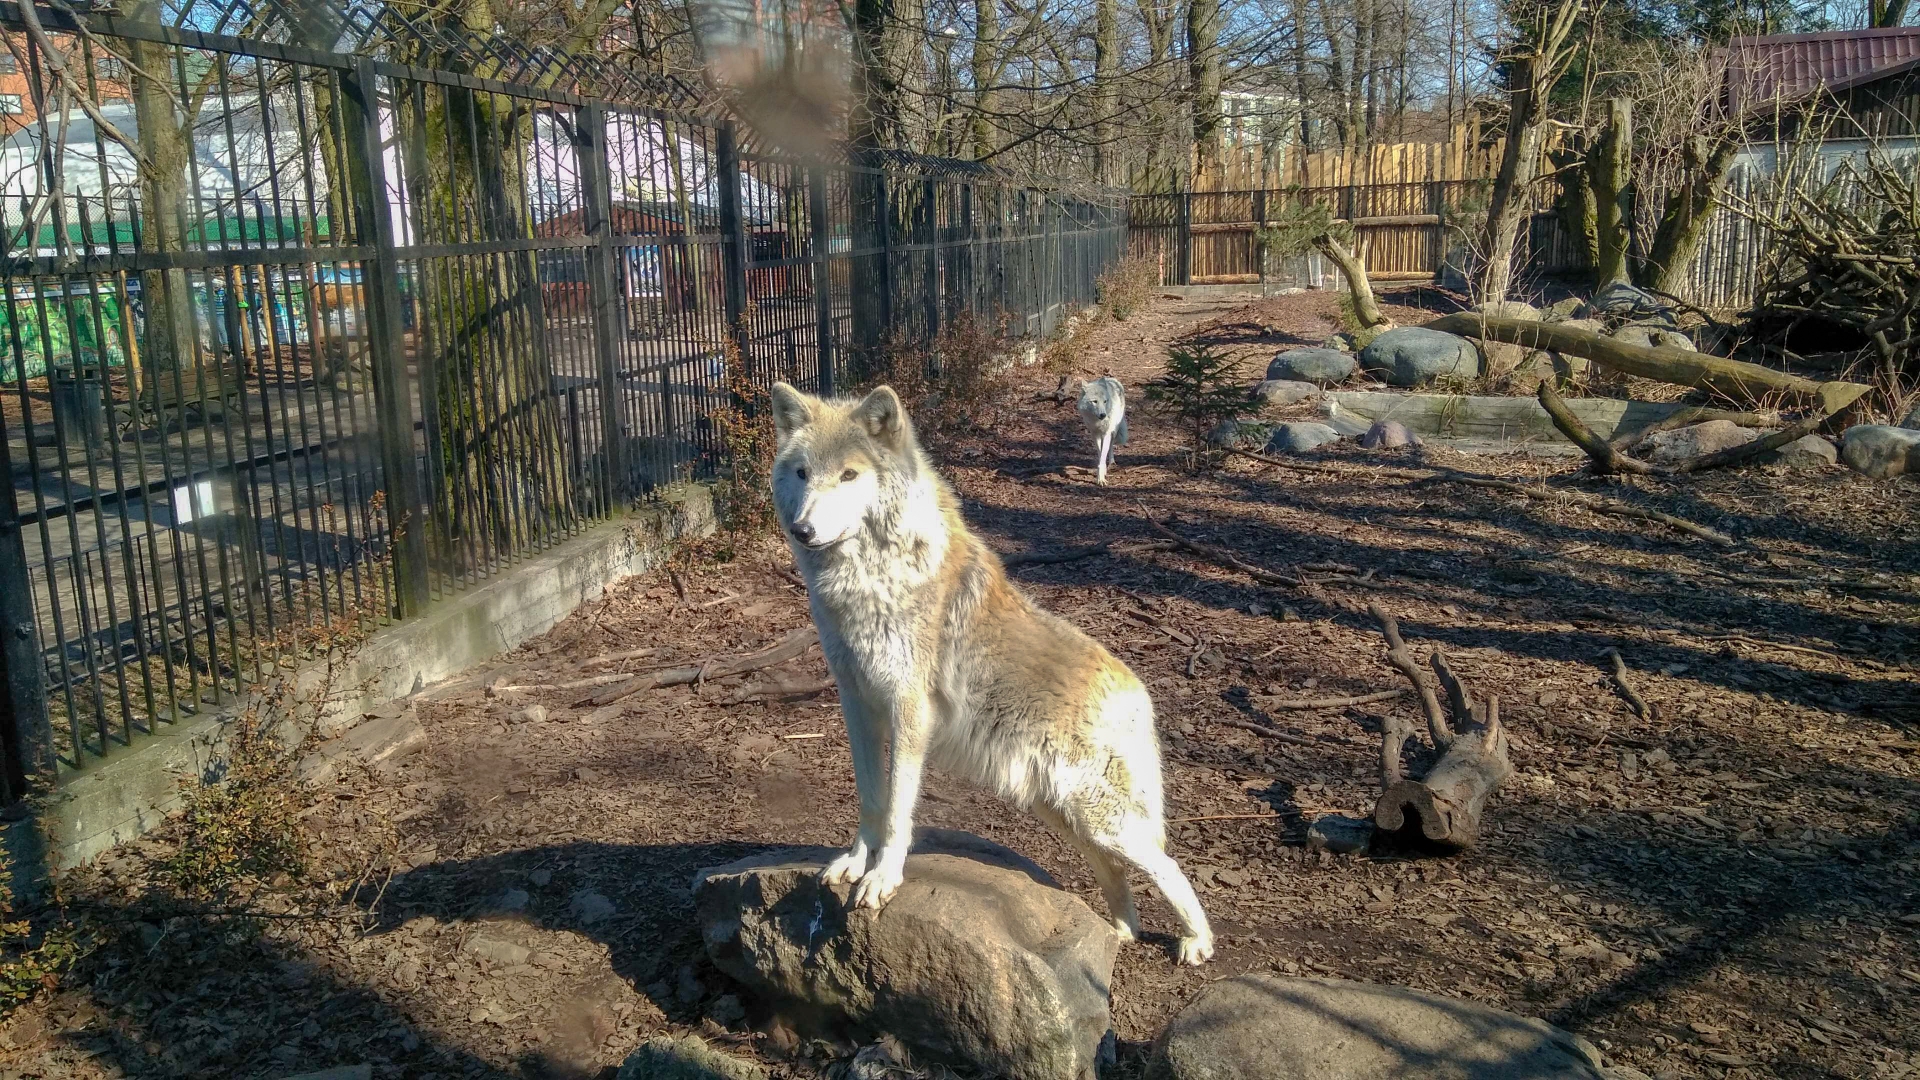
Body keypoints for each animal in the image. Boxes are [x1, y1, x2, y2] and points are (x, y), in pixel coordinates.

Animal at [768, 380, 1205, 968]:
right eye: (802, 473)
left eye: (850, 476)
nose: (803, 529)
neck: (868, 582)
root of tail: (1137, 692)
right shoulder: (857, 704)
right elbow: (871, 798)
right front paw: (855, 863)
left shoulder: (909, 709)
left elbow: (899, 807)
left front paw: (883, 877)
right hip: (1062, 812)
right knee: (1118, 874)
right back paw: (1117, 934)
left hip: (1098, 817)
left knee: (1169, 865)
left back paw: (1196, 942)